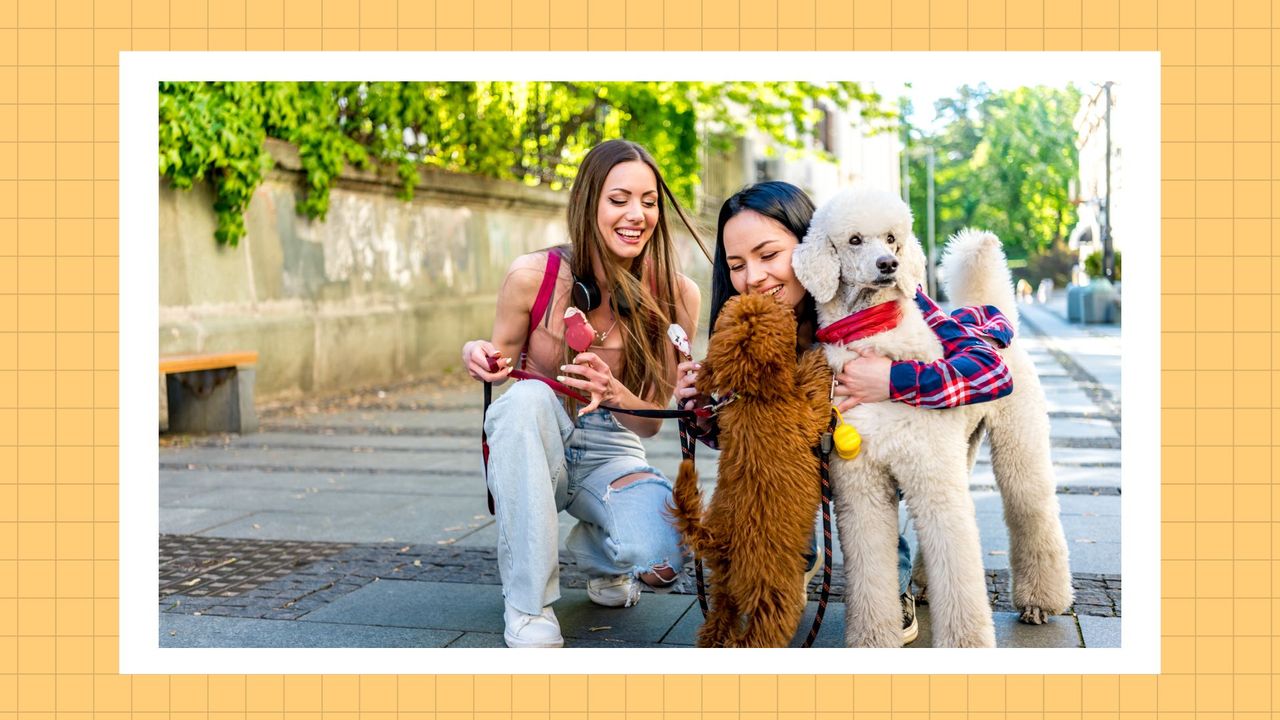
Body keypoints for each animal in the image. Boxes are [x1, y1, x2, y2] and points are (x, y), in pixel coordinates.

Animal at [665, 292, 834, 645]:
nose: (769, 293)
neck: (752, 396)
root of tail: (716, 538)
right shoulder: (807, 416)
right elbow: (813, 390)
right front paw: (818, 359)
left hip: (723, 584)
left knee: (716, 623)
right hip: (771, 587)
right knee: (761, 632)